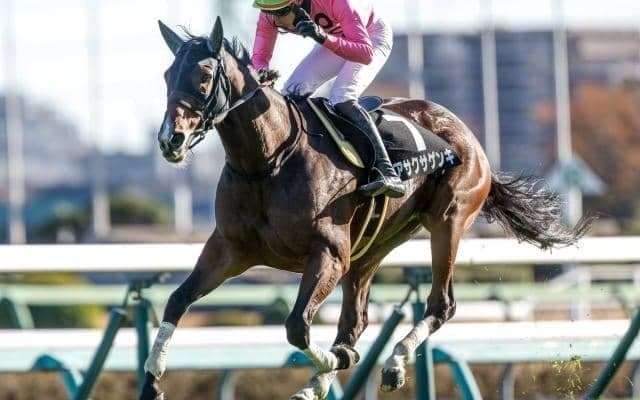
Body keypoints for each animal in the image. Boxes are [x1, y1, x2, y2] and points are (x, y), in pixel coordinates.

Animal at [141, 17, 593, 400]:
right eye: (166, 76)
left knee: (440, 304)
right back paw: (326, 377)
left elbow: (297, 326)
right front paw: (152, 382)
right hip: (373, 245)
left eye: (203, 76)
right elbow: (178, 300)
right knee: (355, 319)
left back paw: (390, 363)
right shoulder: (229, 249)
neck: (267, 161)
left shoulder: (328, 252)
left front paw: (335, 362)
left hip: (447, 220)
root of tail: (469, 137)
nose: (169, 140)